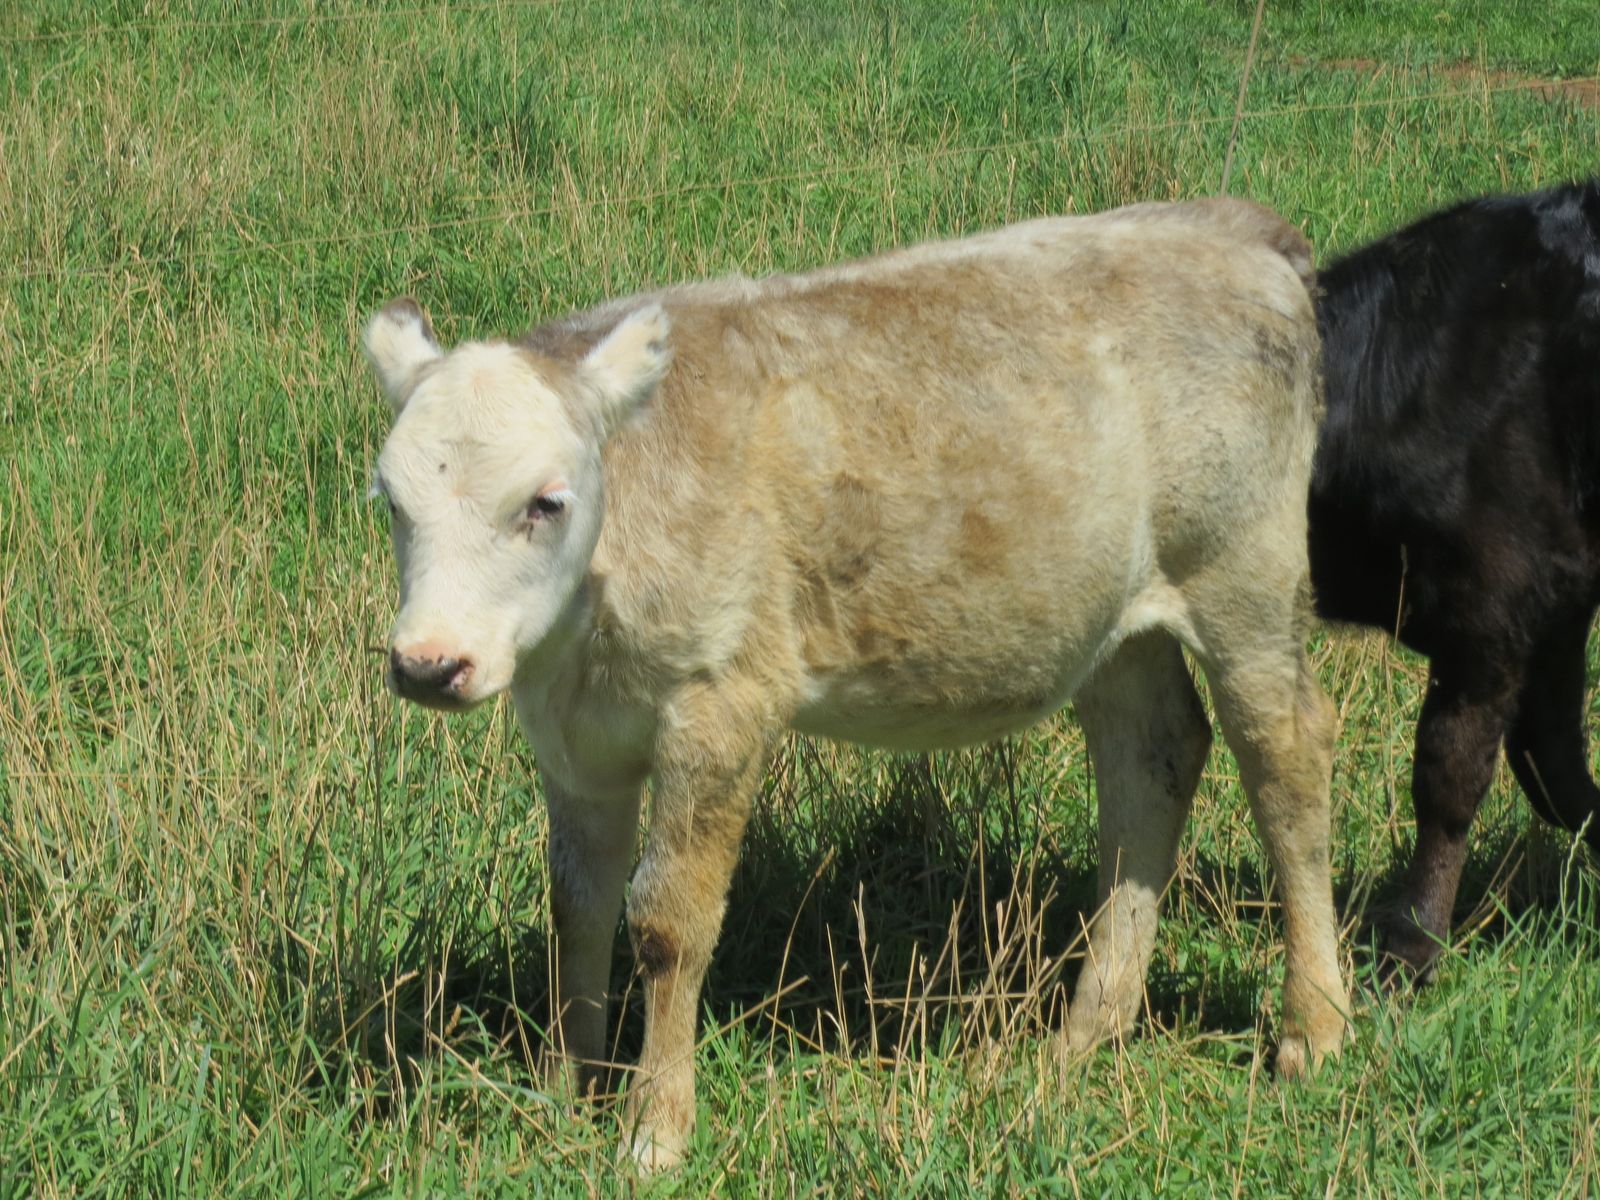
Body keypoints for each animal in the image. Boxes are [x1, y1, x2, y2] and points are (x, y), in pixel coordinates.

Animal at [361, 197, 1349, 1169]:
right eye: (392, 502)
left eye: (545, 501)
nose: (429, 663)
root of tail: (1231, 226)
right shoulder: (573, 739)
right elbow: (578, 906)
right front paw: (565, 1096)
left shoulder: (720, 706)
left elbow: (668, 922)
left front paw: (654, 1129)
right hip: (1112, 616)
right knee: (1153, 758)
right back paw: (1084, 1032)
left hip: (1243, 574)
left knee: (1287, 762)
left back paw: (1314, 1027)